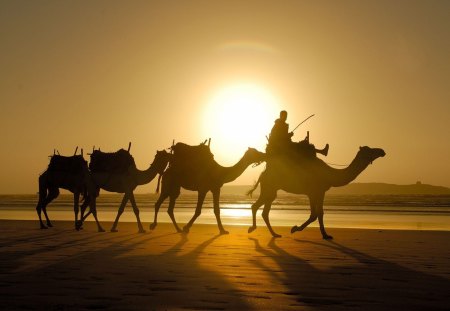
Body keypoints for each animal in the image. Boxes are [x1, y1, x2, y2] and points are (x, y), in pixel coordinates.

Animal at [248, 146, 384, 239]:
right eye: (369, 150)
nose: (382, 151)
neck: (330, 174)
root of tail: (262, 174)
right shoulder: (314, 191)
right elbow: (315, 214)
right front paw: (295, 229)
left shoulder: (319, 192)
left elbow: (319, 213)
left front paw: (325, 235)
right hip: (269, 187)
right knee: (257, 207)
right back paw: (253, 229)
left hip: (271, 190)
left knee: (264, 211)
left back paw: (274, 234)